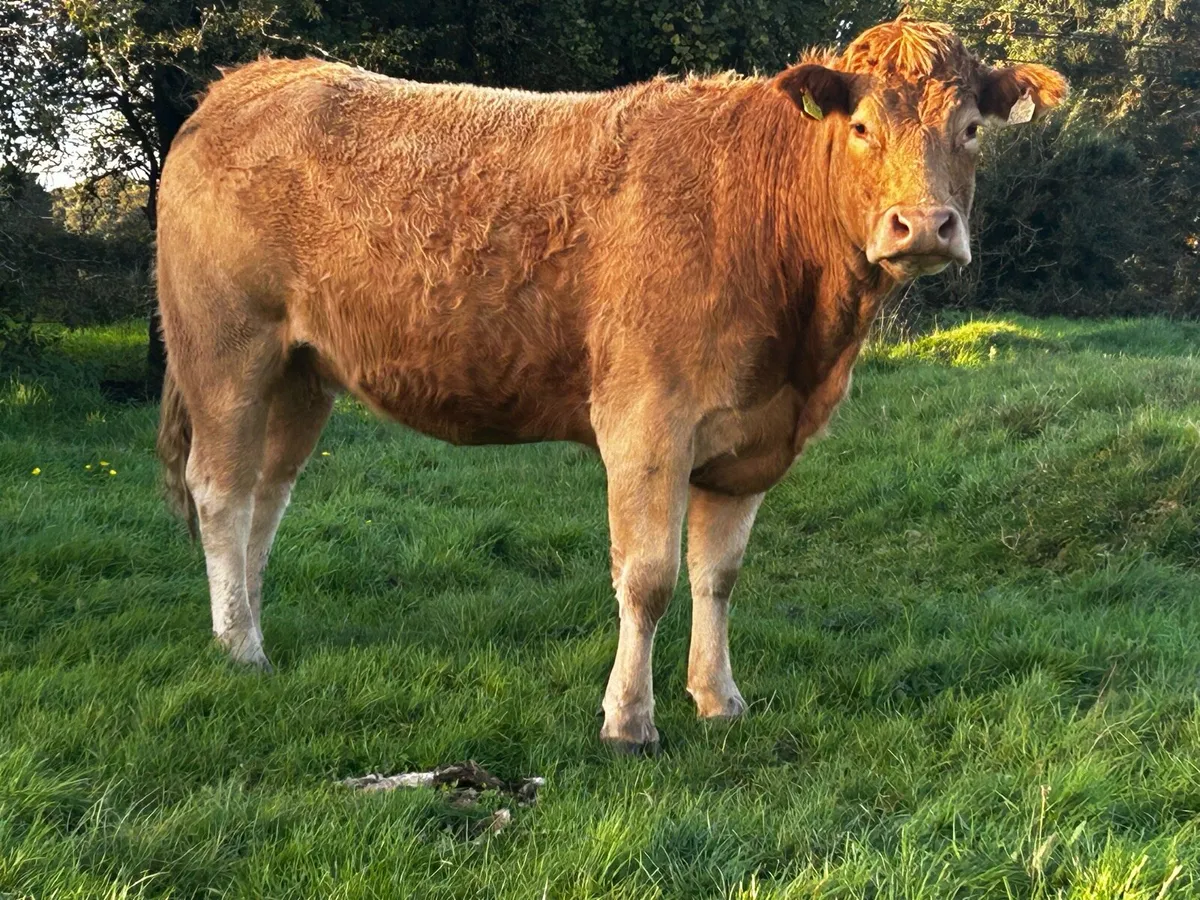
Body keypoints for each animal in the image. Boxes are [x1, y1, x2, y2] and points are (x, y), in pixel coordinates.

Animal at [156, 17, 1066, 754]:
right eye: (863, 126)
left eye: (972, 129)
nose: (924, 226)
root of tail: (249, 79)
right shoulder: (647, 419)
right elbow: (649, 576)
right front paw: (630, 721)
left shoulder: (751, 438)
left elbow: (717, 575)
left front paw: (718, 698)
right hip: (226, 347)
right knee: (221, 489)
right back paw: (240, 647)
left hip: (304, 371)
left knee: (267, 494)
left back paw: (248, 623)